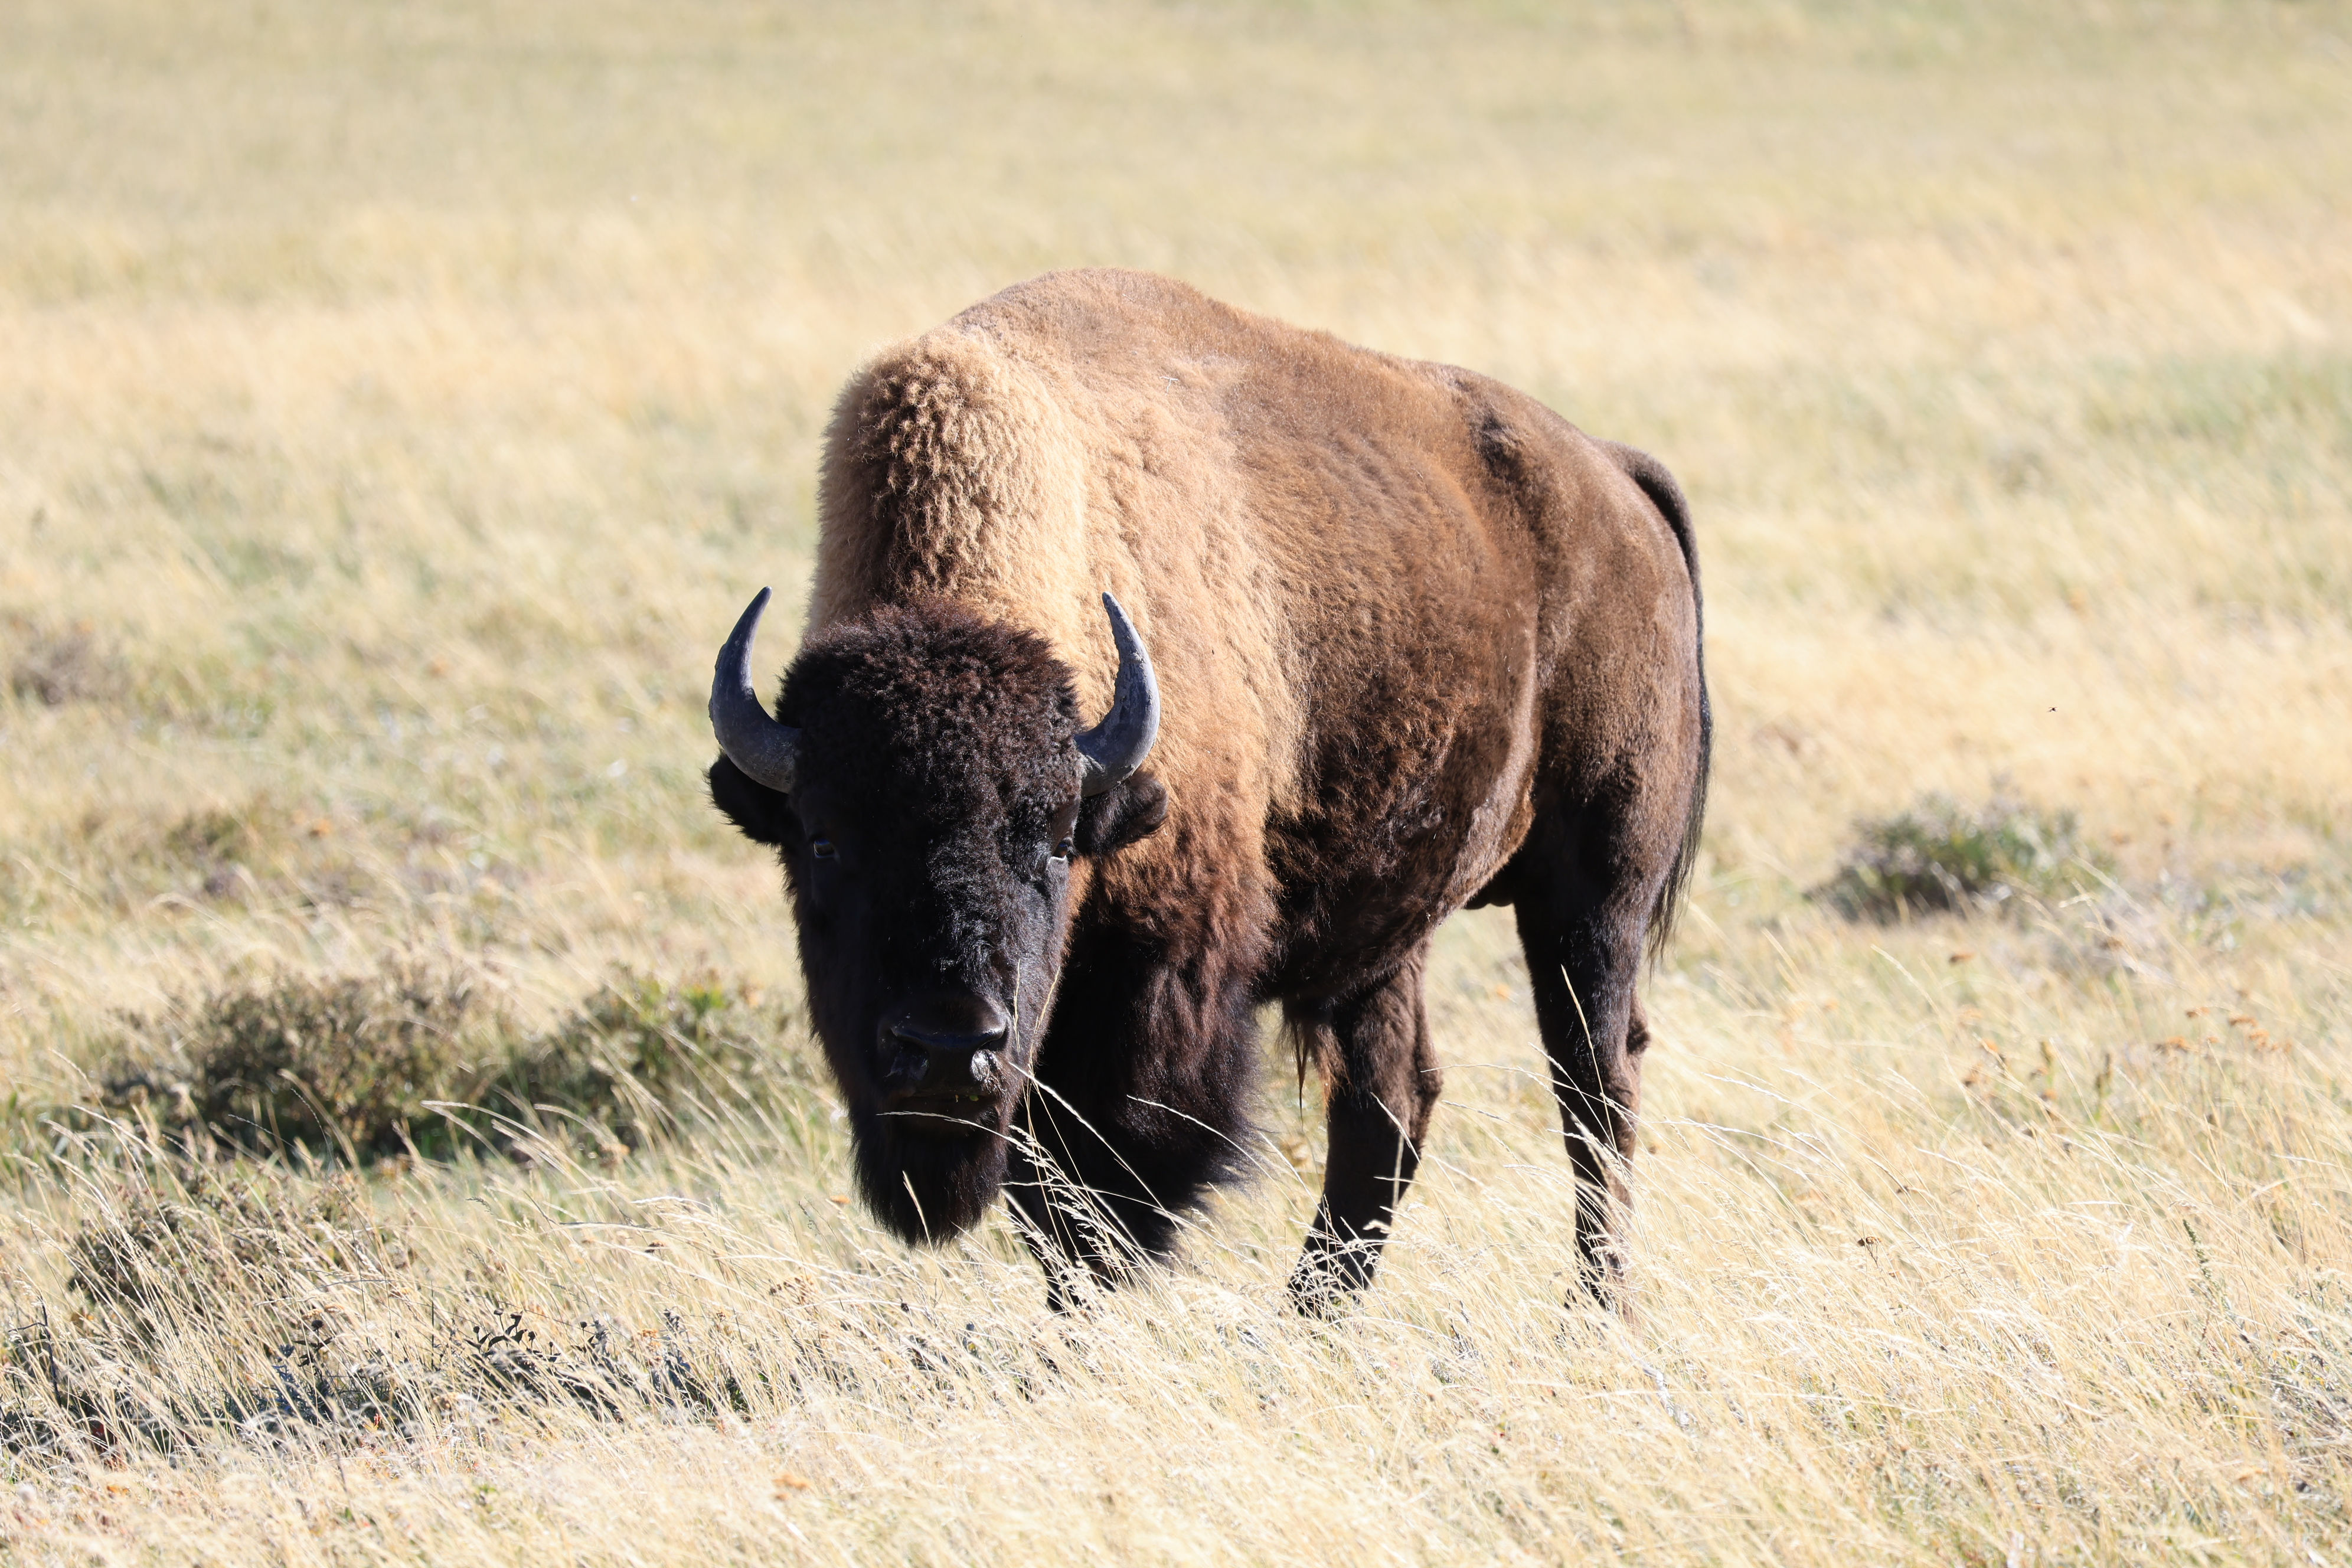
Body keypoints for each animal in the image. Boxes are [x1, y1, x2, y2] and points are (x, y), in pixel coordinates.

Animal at [709, 269, 1708, 1310]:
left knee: (1595, 1084)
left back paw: (1592, 1308)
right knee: (1392, 1104)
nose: (949, 1049)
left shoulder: (1159, 975)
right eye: (823, 839)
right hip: (1392, 933)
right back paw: (1310, 1317)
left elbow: (1108, 1184)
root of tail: (1615, 478)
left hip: (1596, 894)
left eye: (1056, 839)